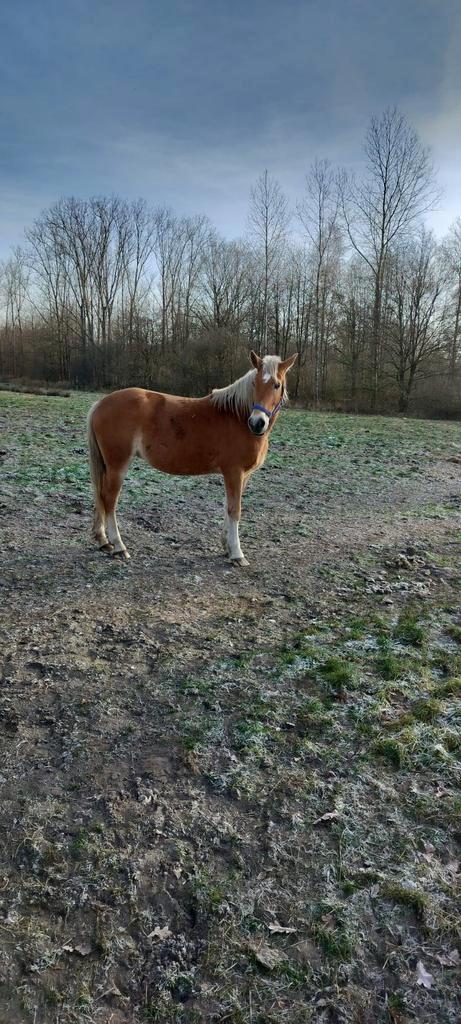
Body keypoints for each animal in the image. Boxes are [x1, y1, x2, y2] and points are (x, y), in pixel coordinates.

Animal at [87, 350, 298, 565]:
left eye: (276, 385)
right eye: (254, 383)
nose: (257, 423)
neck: (237, 417)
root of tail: (101, 403)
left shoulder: (243, 476)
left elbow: (228, 507)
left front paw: (226, 546)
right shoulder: (234, 472)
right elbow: (235, 510)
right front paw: (237, 554)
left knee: (101, 495)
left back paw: (103, 541)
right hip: (117, 465)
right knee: (109, 499)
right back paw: (119, 546)